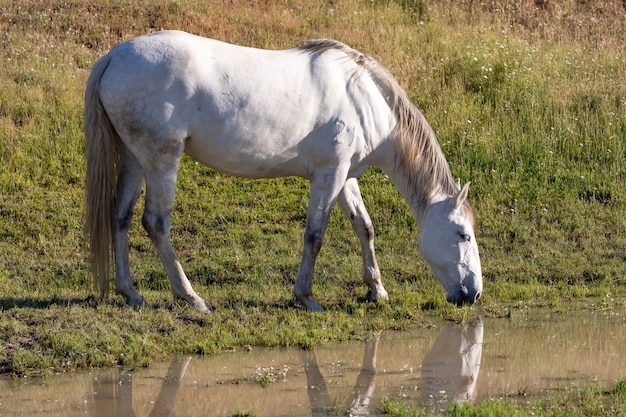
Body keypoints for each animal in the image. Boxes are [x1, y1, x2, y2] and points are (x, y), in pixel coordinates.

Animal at [85, 30, 480, 310]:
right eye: (463, 235)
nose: (473, 293)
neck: (363, 97)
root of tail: (113, 57)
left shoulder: (344, 176)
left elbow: (364, 228)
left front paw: (376, 290)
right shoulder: (329, 175)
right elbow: (315, 236)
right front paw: (306, 297)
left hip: (135, 159)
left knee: (120, 217)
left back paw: (130, 293)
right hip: (161, 160)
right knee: (155, 222)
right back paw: (190, 297)